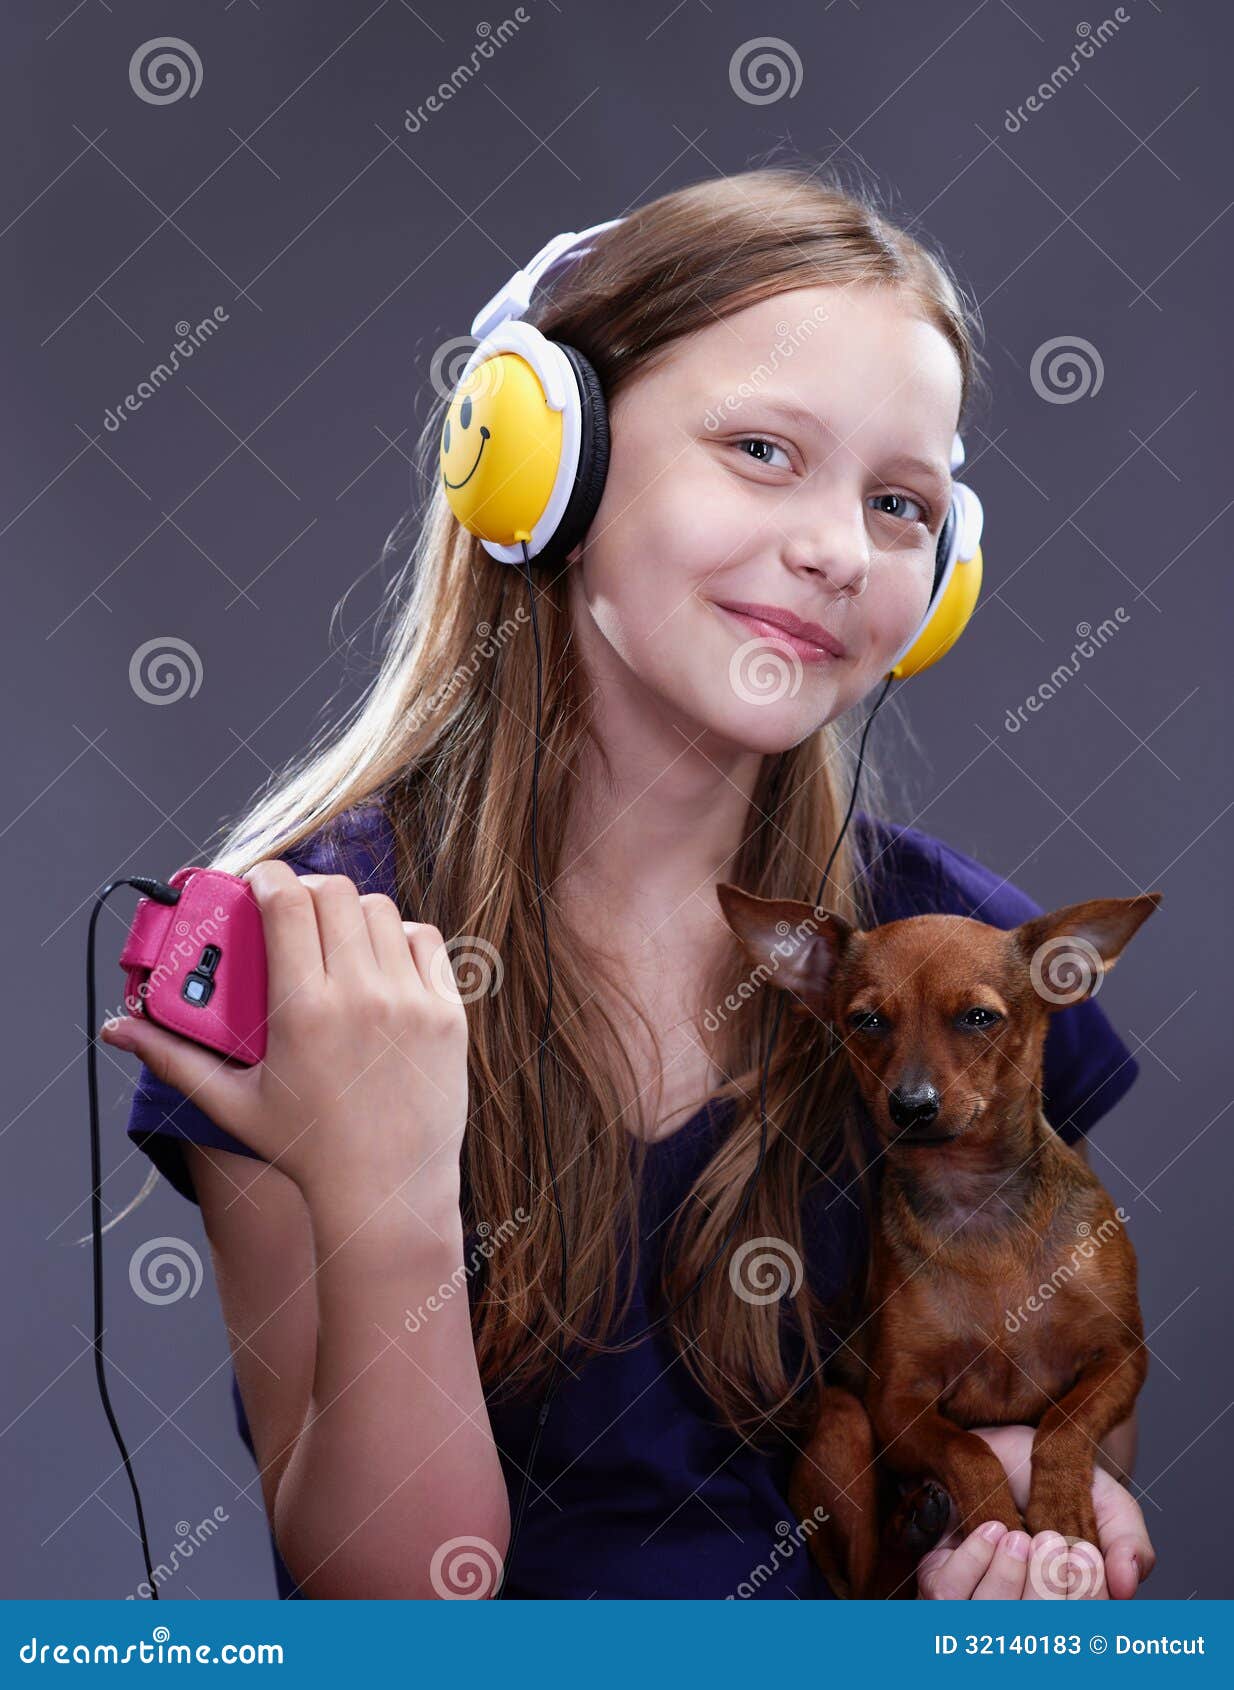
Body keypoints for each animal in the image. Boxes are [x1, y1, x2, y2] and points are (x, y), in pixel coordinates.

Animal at [709, 885, 1156, 1595]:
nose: (911, 1104)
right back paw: (914, 1527)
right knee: (867, 1578)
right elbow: (966, 1448)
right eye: (866, 1021)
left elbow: (1063, 1424)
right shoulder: (896, 1404)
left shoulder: (1119, 1358)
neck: (974, 1202)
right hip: (842, 1421)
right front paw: (993, 1518)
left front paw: (1061, 1511)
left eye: (979, 1018)